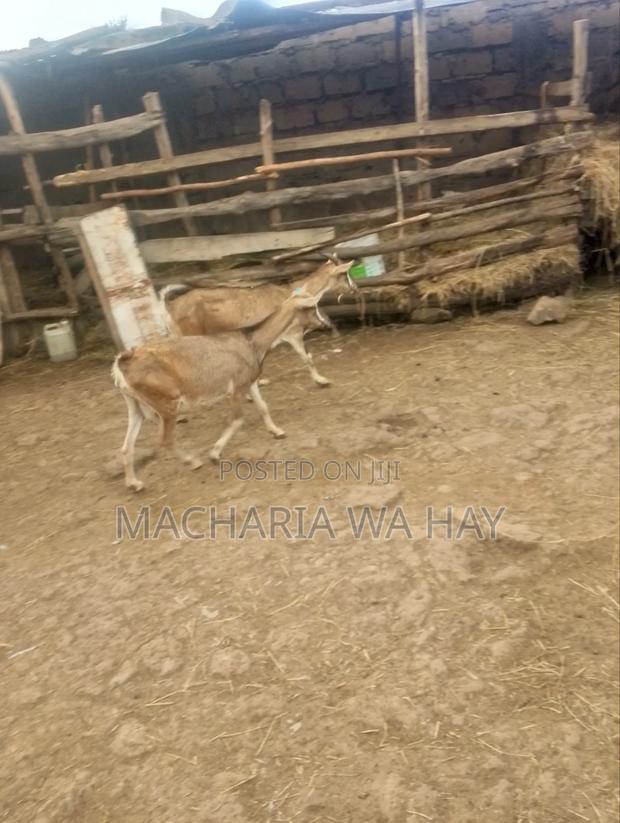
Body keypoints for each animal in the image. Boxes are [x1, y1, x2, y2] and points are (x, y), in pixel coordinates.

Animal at [112, 287, 336, 491]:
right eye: (313, 307)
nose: (326, 323)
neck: (252, 342)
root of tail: (123, 362)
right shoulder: (236, 388)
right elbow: (236, 420)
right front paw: (214, 453)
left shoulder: (249, 381)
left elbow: (263, 407)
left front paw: (277, 431)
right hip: (167, 403)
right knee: (164, 439)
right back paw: (193, 461)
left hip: (135, 405)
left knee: (126, 446)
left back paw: (134, 483)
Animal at [159, 259, 356, 387]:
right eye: (344, 274)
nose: (355, 288)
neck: (290, 293)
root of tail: (170, 307)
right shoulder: (293, 333)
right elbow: (306, 357)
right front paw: (321, 380)